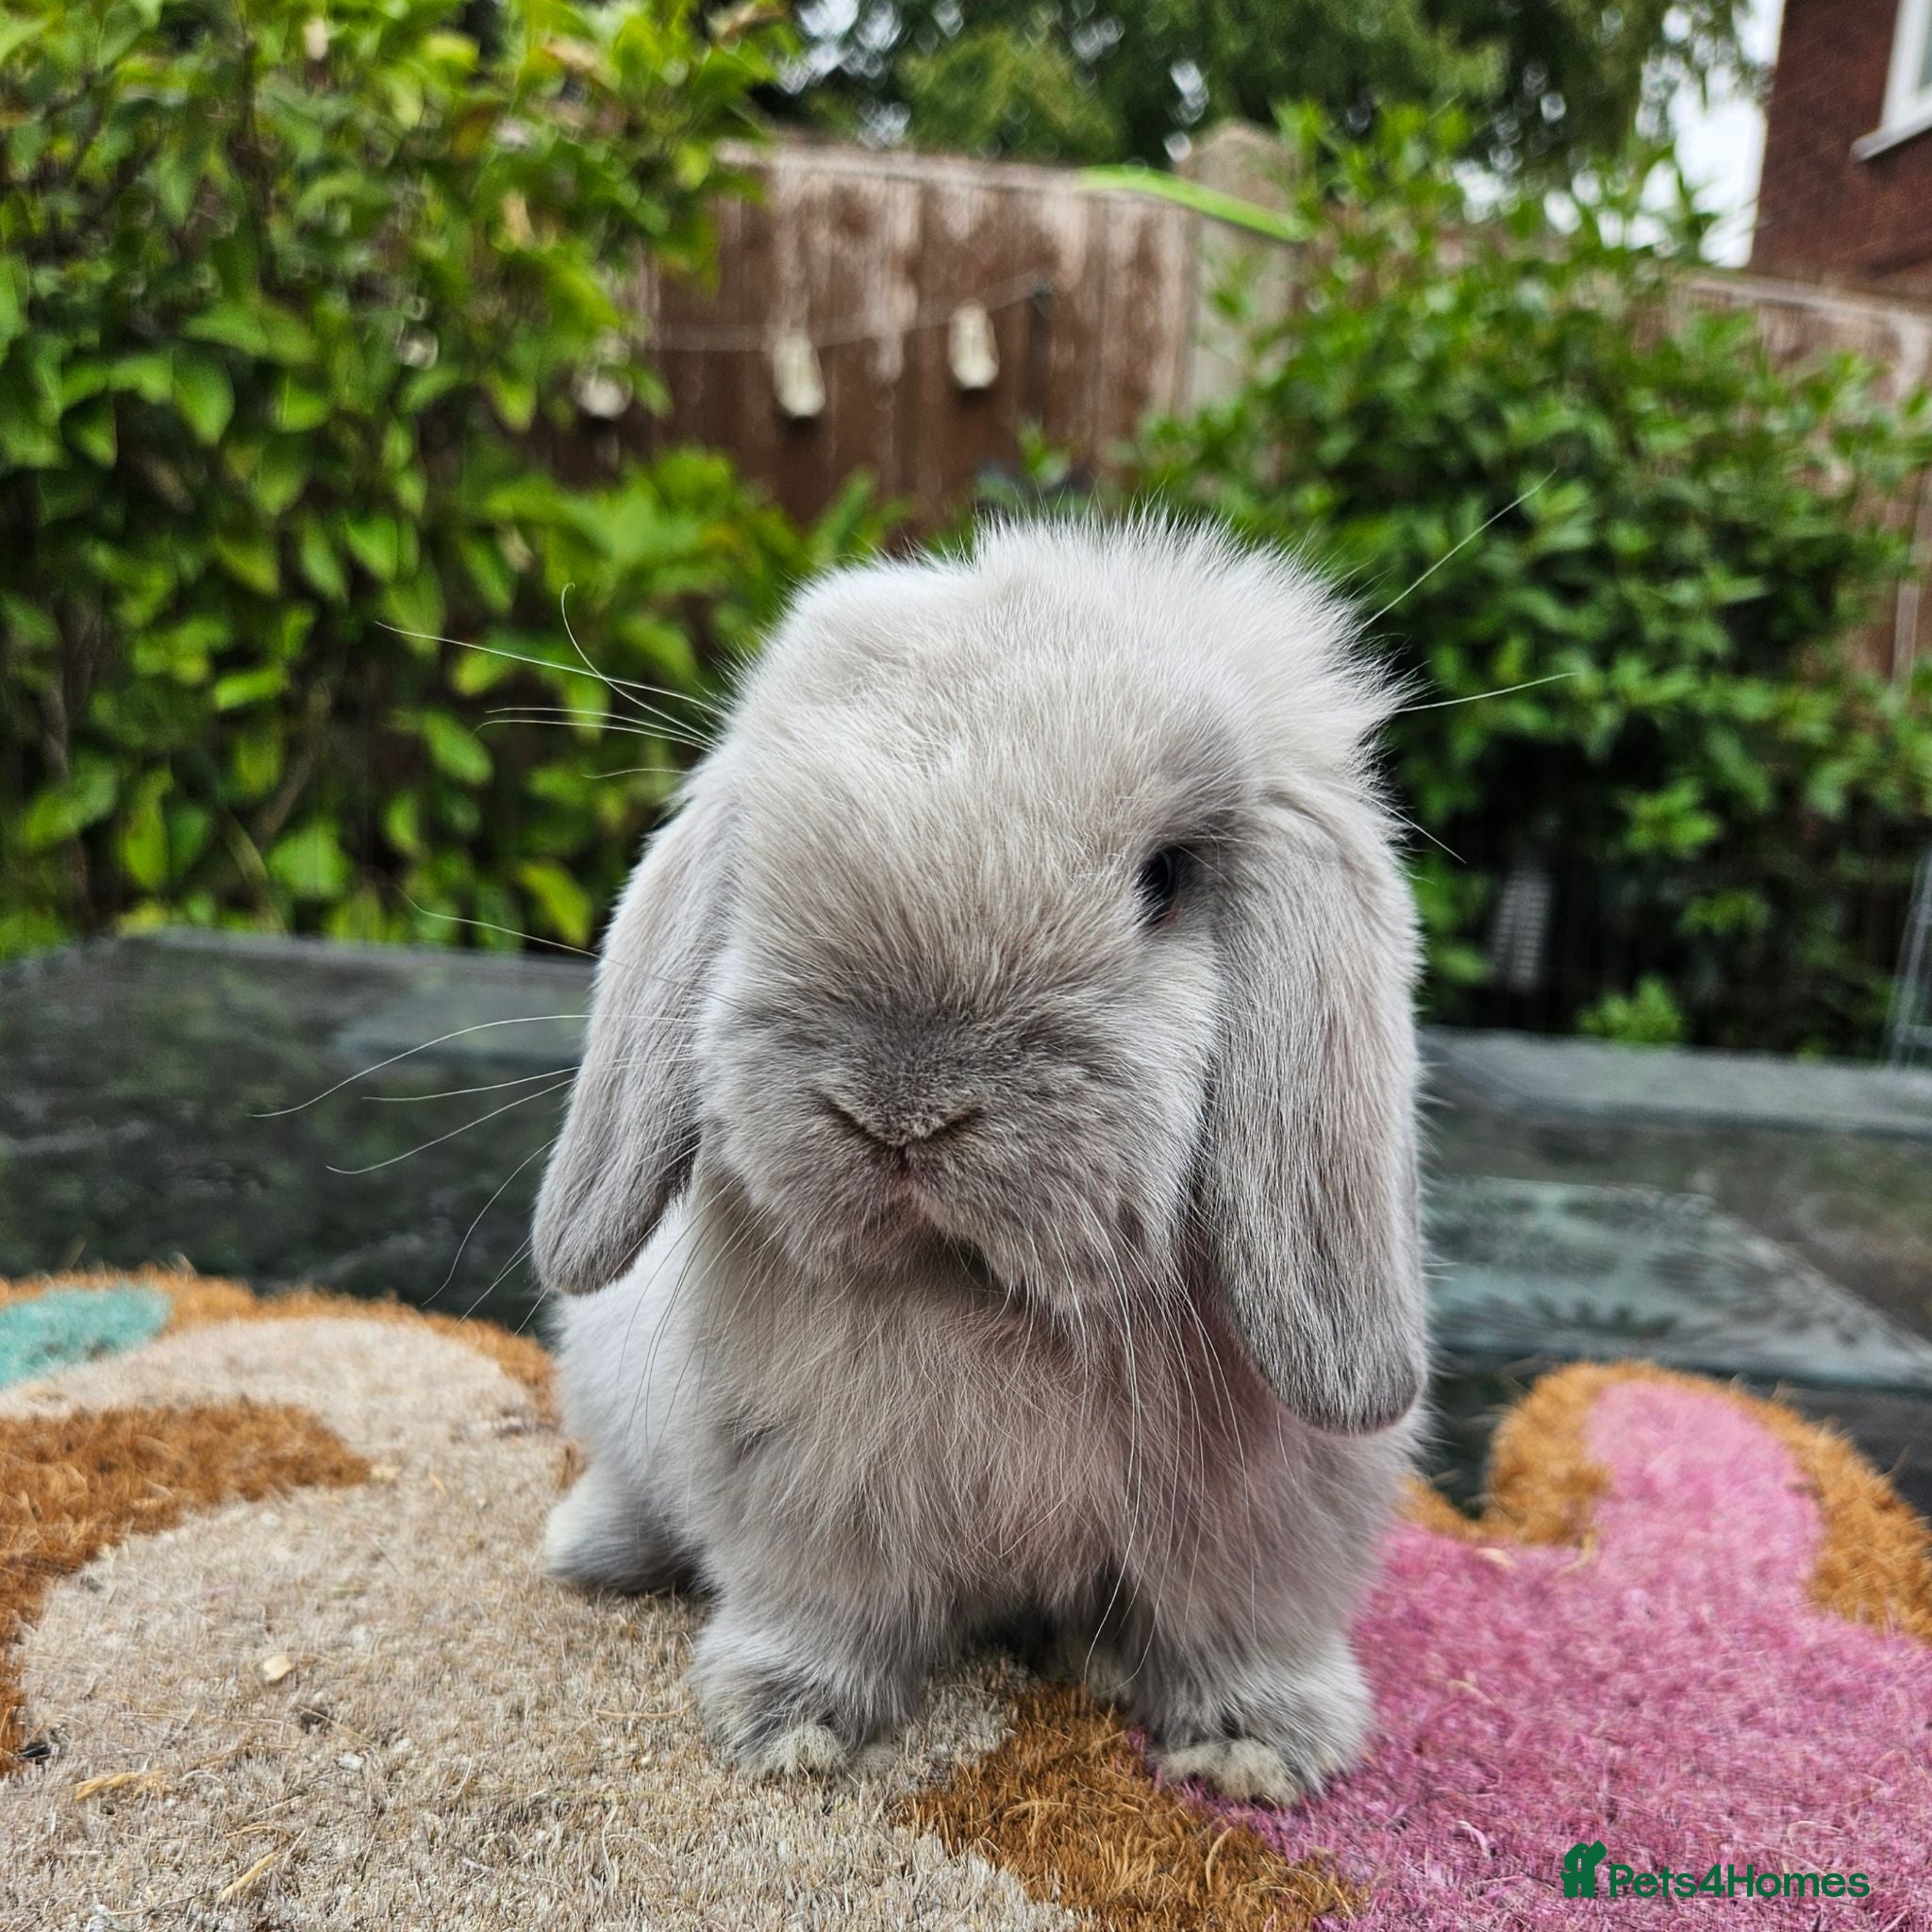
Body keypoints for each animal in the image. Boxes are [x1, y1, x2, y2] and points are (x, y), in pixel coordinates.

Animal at [534, 518, 1428, 1803]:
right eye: (760, 864)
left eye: (1165, 878)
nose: (898, 1112)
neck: (983, 1291)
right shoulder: (806, 1487)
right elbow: (821, 1609)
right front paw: (788, 1724)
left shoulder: (1265, 1520)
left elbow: (1239, 1627)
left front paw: (1257, 1749)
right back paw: (584, 1548)